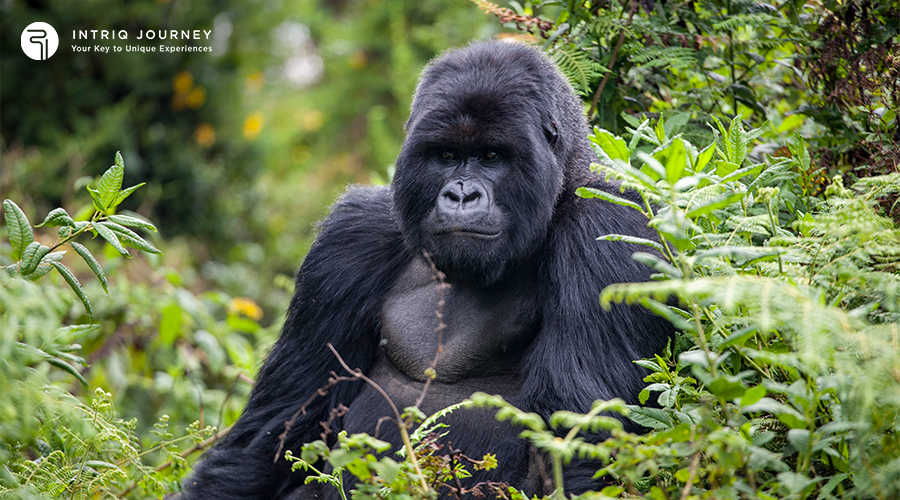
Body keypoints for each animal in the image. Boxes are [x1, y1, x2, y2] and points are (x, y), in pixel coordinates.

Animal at [183, 41, 672, 498]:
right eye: (446, 155)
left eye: (491, 156)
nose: (461, 195)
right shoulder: (350, 238)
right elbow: (275, 430)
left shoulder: (606, 228)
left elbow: (577, 449)